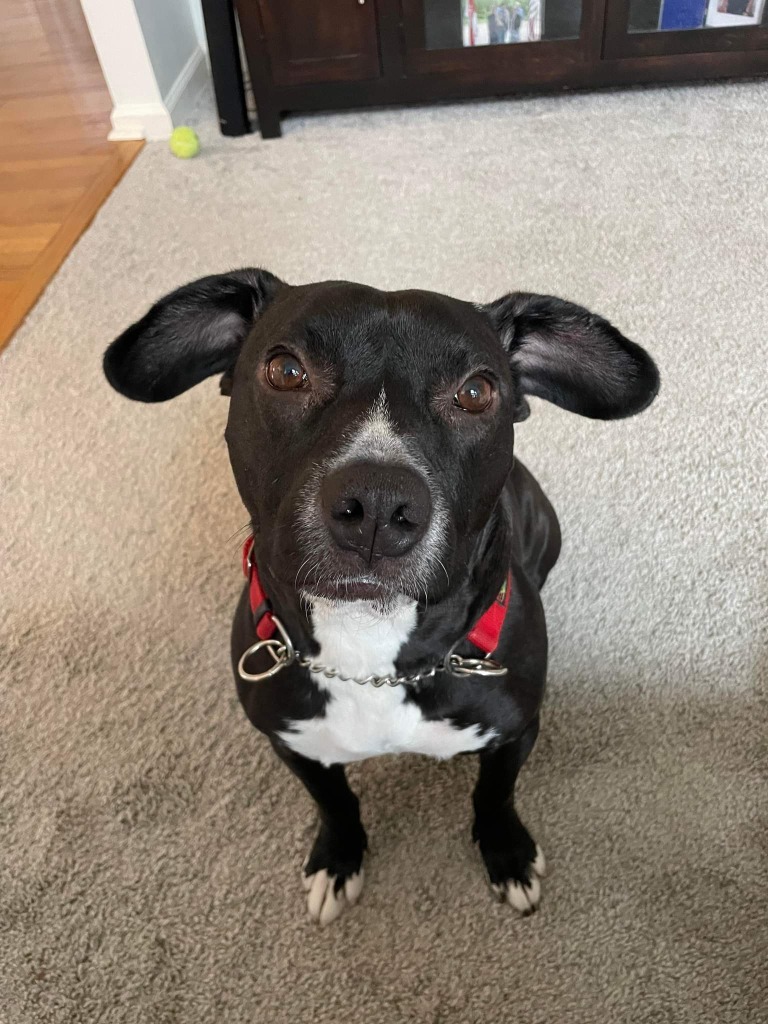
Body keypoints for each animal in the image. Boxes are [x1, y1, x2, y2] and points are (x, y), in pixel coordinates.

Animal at [105, 268, 663, 925]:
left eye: (477, 391)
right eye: (285, 370)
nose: (376, 503)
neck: (369, 649)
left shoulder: (515, 732)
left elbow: (494, 795)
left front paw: (507, 853)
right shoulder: (294, 744)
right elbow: (336, 803)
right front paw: (338, 857)